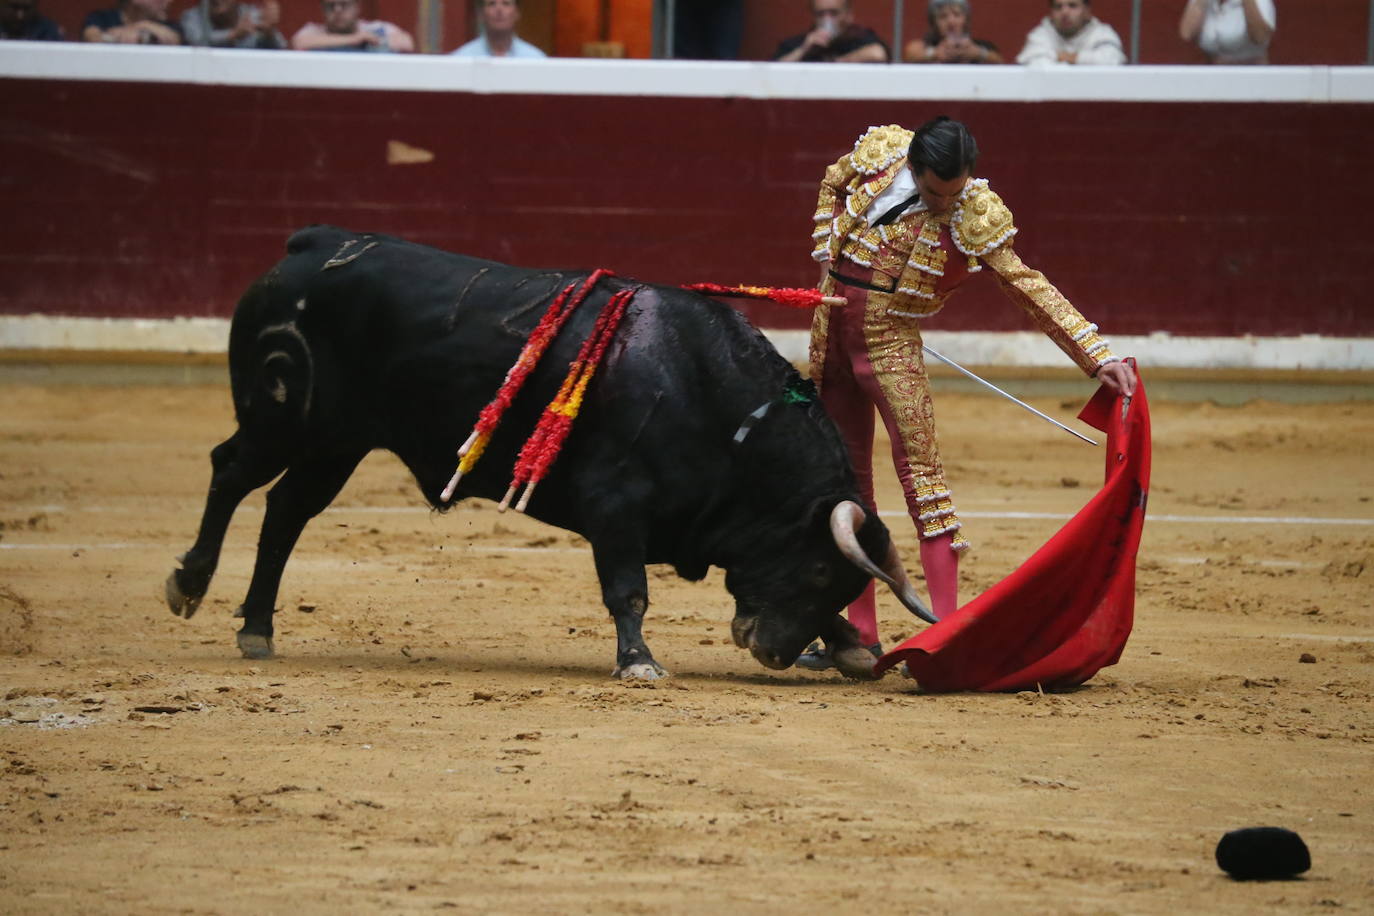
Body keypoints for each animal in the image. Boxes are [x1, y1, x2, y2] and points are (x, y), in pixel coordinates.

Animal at [163, 227, 934, 681]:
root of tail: (311, 246)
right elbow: (628, 589)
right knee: (231, 472)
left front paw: (851, 646)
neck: (717, 404)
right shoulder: (615, 505)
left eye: (840, 582)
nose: (773, 651)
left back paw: (257, 628)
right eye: (815, 570)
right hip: (283, 418)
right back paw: (190, 585)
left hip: (337, 443)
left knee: (286, 510)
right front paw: (639, 663)